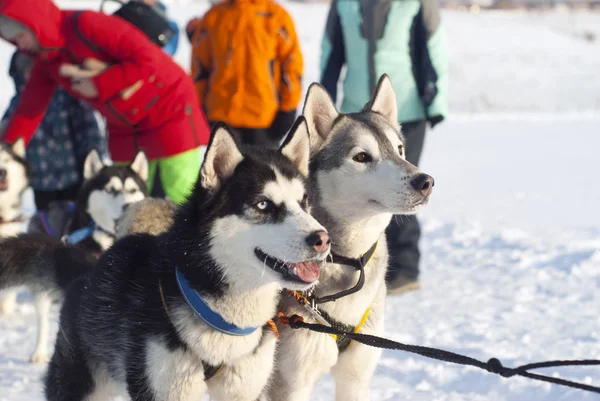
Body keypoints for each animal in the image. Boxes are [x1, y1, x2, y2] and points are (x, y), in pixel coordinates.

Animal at [270, 76, 434, 400]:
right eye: (361, 157)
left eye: (399, 149)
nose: (426, 182)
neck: (347, 259)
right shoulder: (289, 384)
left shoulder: (356, 377)